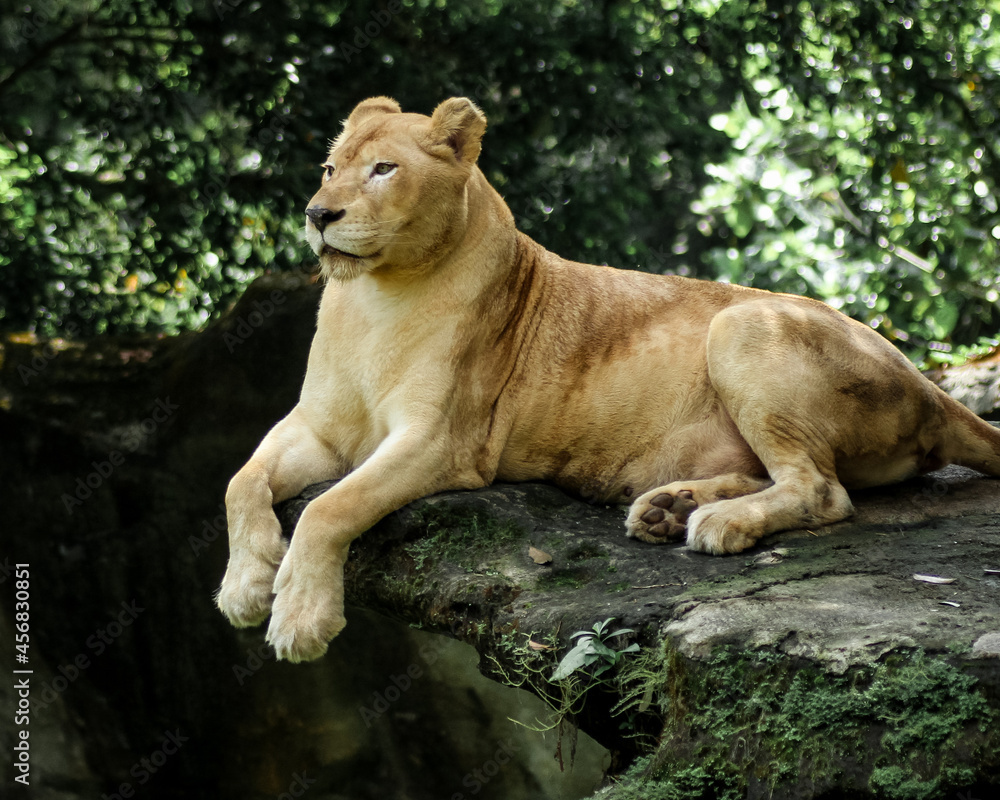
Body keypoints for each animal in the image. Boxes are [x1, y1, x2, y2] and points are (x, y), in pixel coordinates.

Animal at [216, 96, 1000, 662]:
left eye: (383, 169)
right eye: (329, 169)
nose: (319, 214)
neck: (374, 299)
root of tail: (930, 384)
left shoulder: (442, 443)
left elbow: (330, 508)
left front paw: (299, 619)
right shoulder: (316, 426)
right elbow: (239, 482)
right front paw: (245, 588)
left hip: (742, 323)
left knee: (822, 490)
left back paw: (713, 523)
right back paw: (669, 509)